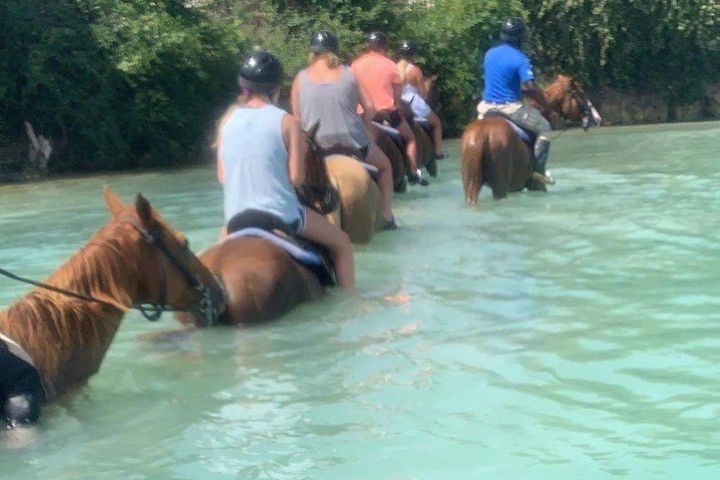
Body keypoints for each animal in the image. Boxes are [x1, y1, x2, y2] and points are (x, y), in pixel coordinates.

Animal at [462, 74, 600, 203]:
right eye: (582, 93)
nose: (597, 118)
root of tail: (482, 134)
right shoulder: (536, 183)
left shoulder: (516, 187)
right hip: (500, 184)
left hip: (471, 183)